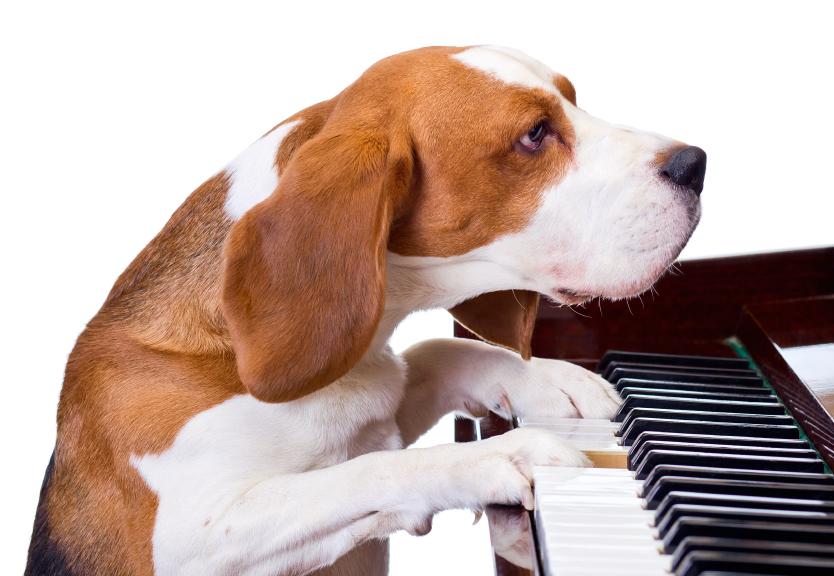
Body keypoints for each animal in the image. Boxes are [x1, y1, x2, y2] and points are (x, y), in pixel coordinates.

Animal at [24, 46, 704, 576]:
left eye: (573, 99)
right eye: (534, 133)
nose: (696, 164)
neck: (229, 349)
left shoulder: (380, 397)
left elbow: (434, 353)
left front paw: (547, 380)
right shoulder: (192, 536)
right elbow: (363, 472)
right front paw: (501, 456)